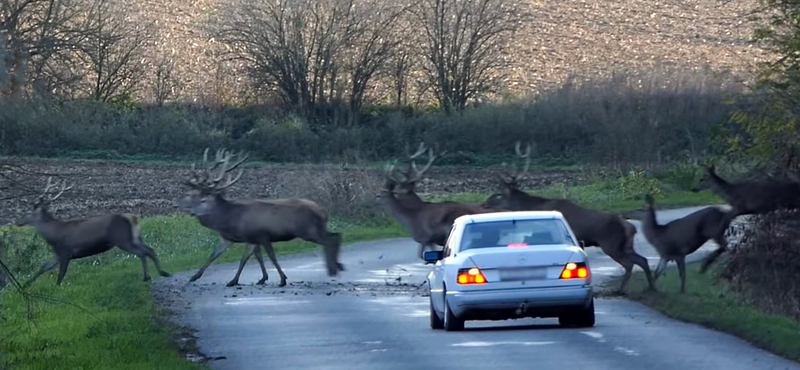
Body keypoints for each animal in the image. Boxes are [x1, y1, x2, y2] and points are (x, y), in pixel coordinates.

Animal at [14, 178, 170, 288]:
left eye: (29, 211)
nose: (18, 221)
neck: (52, 235)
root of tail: (133, 218)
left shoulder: (66, 252)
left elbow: (61, 274)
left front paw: (55, 289)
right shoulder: (58, 254)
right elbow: (44, 266)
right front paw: (24, 286)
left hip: (122, 239)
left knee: (142, 252)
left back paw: (147, 276)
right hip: (134, 238)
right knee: (149, 249)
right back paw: (162, 272)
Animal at [178, 149, 344, 288]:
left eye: (203, 200)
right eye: (193, 196)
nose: (190, 212)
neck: (230, 220)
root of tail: (323, 211)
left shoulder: (258, 235)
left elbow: (260, 257)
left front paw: (281, 279)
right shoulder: (233, 238)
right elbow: (216, 255)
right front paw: (194, 276)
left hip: (307, 229)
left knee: (331, 239)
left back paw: (333, 269)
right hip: (314, 229)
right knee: (335, 235)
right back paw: (336, 266)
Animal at [482, 143, 656, 294]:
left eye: (498, 194)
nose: (484, 203)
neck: (532, 207)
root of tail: (631, 227)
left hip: (611, 244)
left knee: (630, 263)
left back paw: (621, 290)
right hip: (625, 245)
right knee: (642, 260)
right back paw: (650, 287)